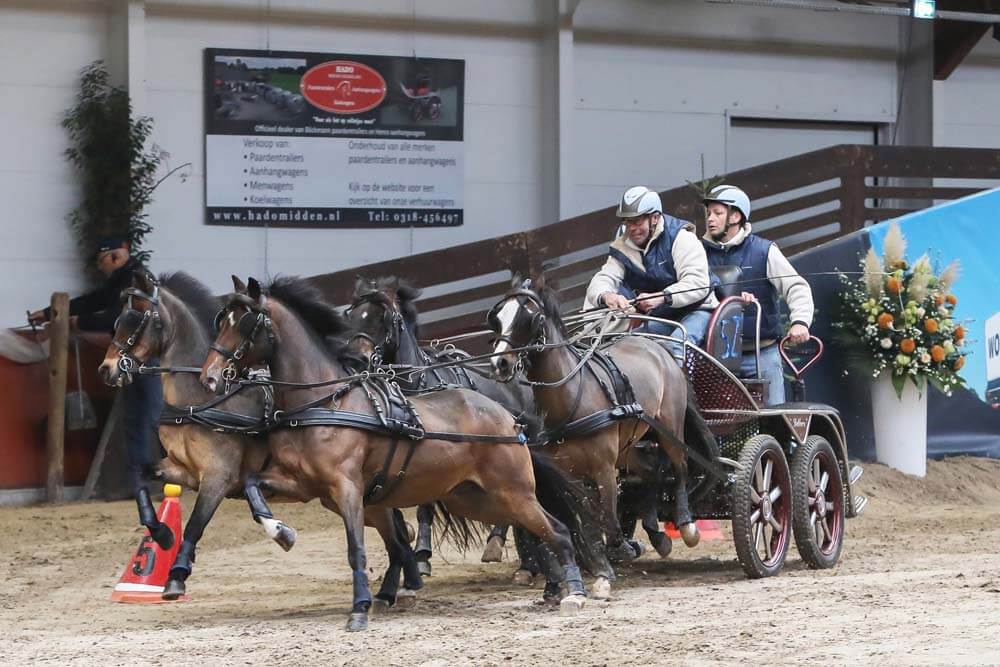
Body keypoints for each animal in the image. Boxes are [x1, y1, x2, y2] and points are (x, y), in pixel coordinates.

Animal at [200, 276, 588, 632]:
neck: (324, 402)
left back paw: (573, 592)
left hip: (512, 491)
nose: (210, 377)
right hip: (474, 498)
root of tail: (507, 416)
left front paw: (359, 609)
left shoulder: (348, 488)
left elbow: (356, 546)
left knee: (556, 530)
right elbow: (252, 487)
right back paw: (554, 587)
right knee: (537, 528)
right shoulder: (303, 485)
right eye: (222, 320)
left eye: (245, 323)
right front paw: (281, 532)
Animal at [490, 276, 720, 600]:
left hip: (670, 428)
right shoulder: (568, 473)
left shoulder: (603, 468)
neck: (572, 394)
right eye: (497, 318)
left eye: (529, 318)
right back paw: (656, 533)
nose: (499, 364)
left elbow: (608, 516)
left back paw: (686, 524)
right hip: (629, 447)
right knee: (652, 472)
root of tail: (656, 347)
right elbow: (588, 521)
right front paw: (602, 568)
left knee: (680, 469)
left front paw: (620, 551)